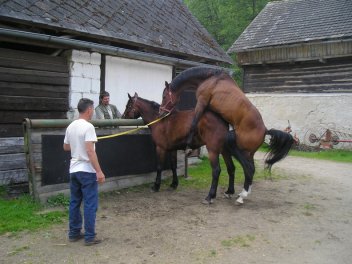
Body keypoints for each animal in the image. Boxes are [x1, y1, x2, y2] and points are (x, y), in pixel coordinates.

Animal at [160, 66, 294, 204]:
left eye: (164, 96)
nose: (161, 112)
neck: (211, 78)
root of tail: (265, 130)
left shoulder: (202, 102)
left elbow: (194, 123)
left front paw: (188, 147)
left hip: (242, 151)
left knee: (248, 169)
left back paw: (241, 196)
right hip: (249, 153)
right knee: (250, 170)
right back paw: (241, 192)